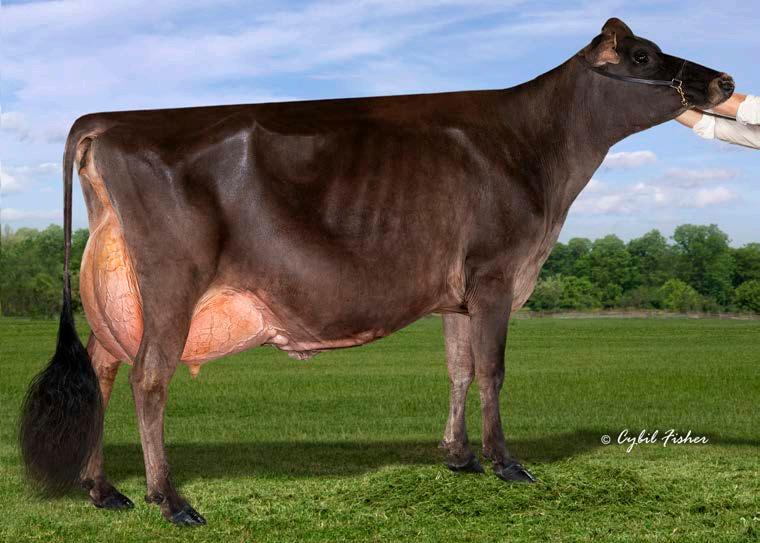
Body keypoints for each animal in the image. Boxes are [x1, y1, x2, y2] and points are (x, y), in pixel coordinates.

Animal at [20, 18, 734, 526]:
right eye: (642, 57)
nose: (725, 80)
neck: (536, 150)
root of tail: (110, 120)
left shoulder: (459, 294)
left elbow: (459, 368)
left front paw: (460, 458)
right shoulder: (498, 276)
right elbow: (493, 369)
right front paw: (507, 464)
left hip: (119, 289)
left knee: (102, 368)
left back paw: (102, 490)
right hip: (171, 279)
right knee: (149, 378)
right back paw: (170, 501)